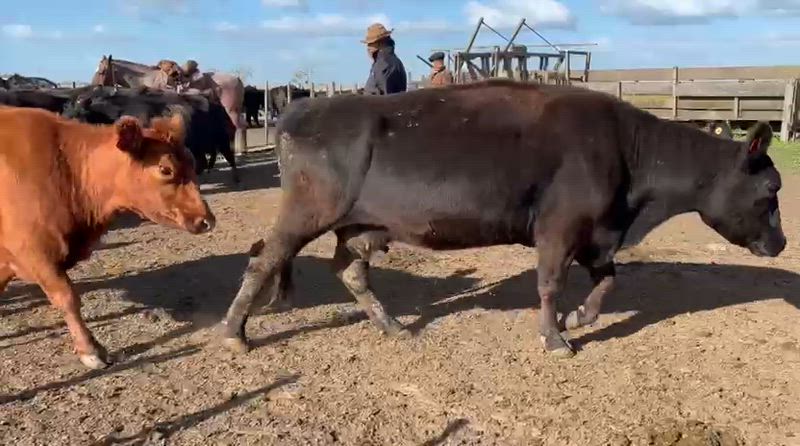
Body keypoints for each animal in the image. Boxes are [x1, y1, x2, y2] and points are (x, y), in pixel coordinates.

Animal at [0, 105, 215, 369]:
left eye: (192, 162)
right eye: (165, 169)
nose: (207, 220)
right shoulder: (36, 254)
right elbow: (68, 298)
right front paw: (90, 350)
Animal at [64, 86, 240, 184]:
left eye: (78, 116)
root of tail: (216, 103)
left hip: (221, 140)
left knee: (228, 157)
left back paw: (235, 179)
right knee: (204, 162)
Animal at [215, 79, 786, 359]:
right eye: (771, 190)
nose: (781, 244)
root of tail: (300, 110)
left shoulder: (596, 234)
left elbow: (608, 283)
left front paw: (577, 319)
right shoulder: (559, 229)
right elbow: (550, 284)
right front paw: (554, 337)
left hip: (359, 226)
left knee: (350, 271)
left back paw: (393, 327)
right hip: (307, 211)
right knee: (262, 260)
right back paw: (234, 332)